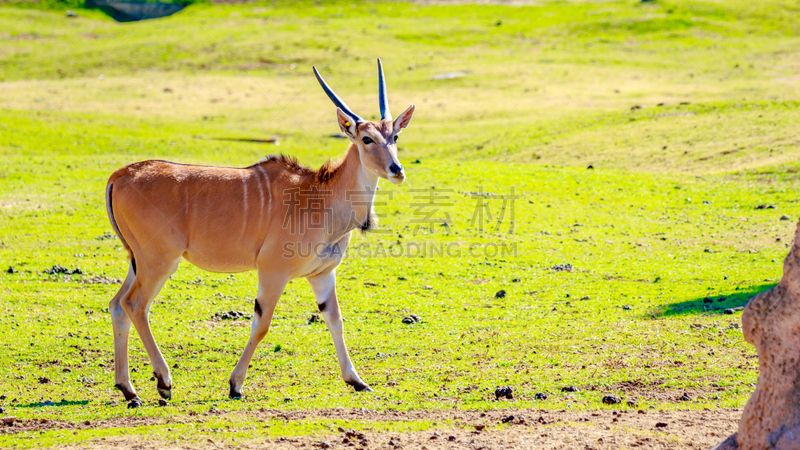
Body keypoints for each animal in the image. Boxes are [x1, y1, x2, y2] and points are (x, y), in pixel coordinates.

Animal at [104, 59, 412, 408]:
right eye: (366, 139)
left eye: (395, 135)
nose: (397, 170)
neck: (318, 196)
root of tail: (119, 176)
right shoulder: (273, 271)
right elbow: (262, 323)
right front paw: (235, 385)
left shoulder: (322, 274)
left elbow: (335, 320)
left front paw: (357, 380)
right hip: (159, 261)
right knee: (135, 305)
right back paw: (164, 382)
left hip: (138, 261)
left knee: (117, 305)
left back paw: (128, 389)